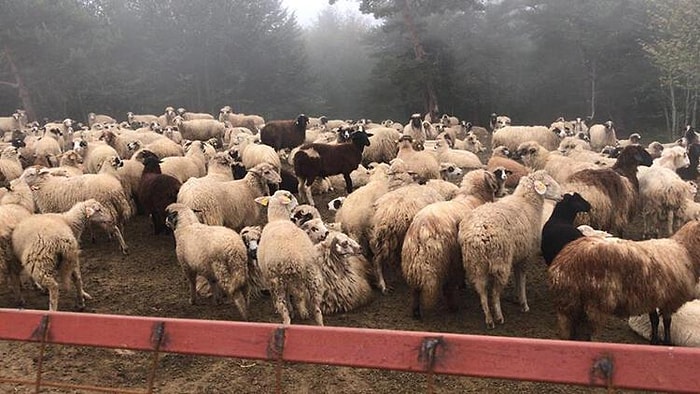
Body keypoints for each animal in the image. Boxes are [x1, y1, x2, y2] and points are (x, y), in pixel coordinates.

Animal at [254, 189, 326, 324]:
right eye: (291, 196)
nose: (298, 204)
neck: (278, 219)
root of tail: (294, 259)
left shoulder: (271, 278)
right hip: (312, 275)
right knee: (316, 308)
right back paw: (319, 324)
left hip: (278, 281)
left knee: (283, 307)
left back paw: (286, 320)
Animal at [400, 168, 504, 318]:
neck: (475, 197)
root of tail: (423, 229)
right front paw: (462, 285)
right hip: (448, 259)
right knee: (447, 287)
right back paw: (453, 307)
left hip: (413, 263)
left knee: (415, 290)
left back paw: (416, 312)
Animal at [460, 171, 564, 328]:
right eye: (547, 185)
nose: (562, 196)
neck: (527, 203)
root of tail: (479, 233)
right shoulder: (525, 255)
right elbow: (521, 279)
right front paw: (524, 303)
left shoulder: (518, 254)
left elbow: (516, 277)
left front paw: (516, 297)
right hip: (501, 261)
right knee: (495, 293)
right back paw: (498, 316)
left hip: (476, 263)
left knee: (482, 290)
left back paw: (489, 319)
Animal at [548, 222, 700, 344]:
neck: (685, 249)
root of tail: (562, 264)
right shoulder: (670, 300)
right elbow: (667, 323)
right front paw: (667, 342)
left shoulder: (652, 297)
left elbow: (655, 320)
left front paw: (654, 340)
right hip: (593, 305)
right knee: (588, 335)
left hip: (569, 305)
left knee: (567, 333)